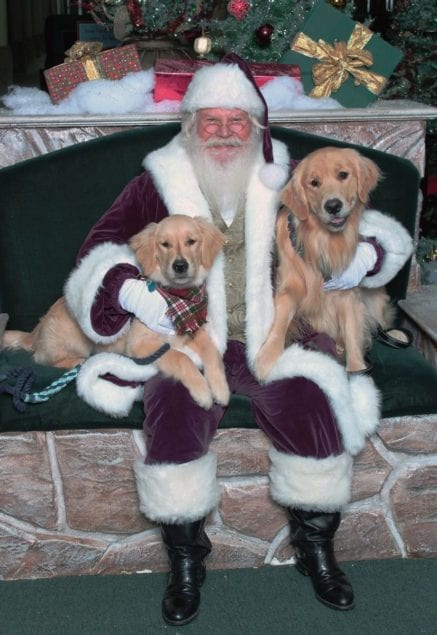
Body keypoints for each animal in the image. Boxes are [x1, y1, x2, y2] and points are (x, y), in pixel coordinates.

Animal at [4, 216, 228, 410]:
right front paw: (202, 391)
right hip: (74, 339)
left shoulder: (193, 330)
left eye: (191, 241)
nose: (180, 266)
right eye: (165, 244)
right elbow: (181, 358)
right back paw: (78, 362)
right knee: (44, 360)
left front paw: (220, 388)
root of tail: (37, 331)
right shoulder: (141, 345)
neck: (178, 298)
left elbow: (212, 352)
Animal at [254, 147, 394, 380]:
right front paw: (266, 357)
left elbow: (353, 336)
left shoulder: (348, 296)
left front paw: (357, 369)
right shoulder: (289, 287)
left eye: (343, 175)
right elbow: (280, 321)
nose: (333, 206)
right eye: (314, 183)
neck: (322, 242)